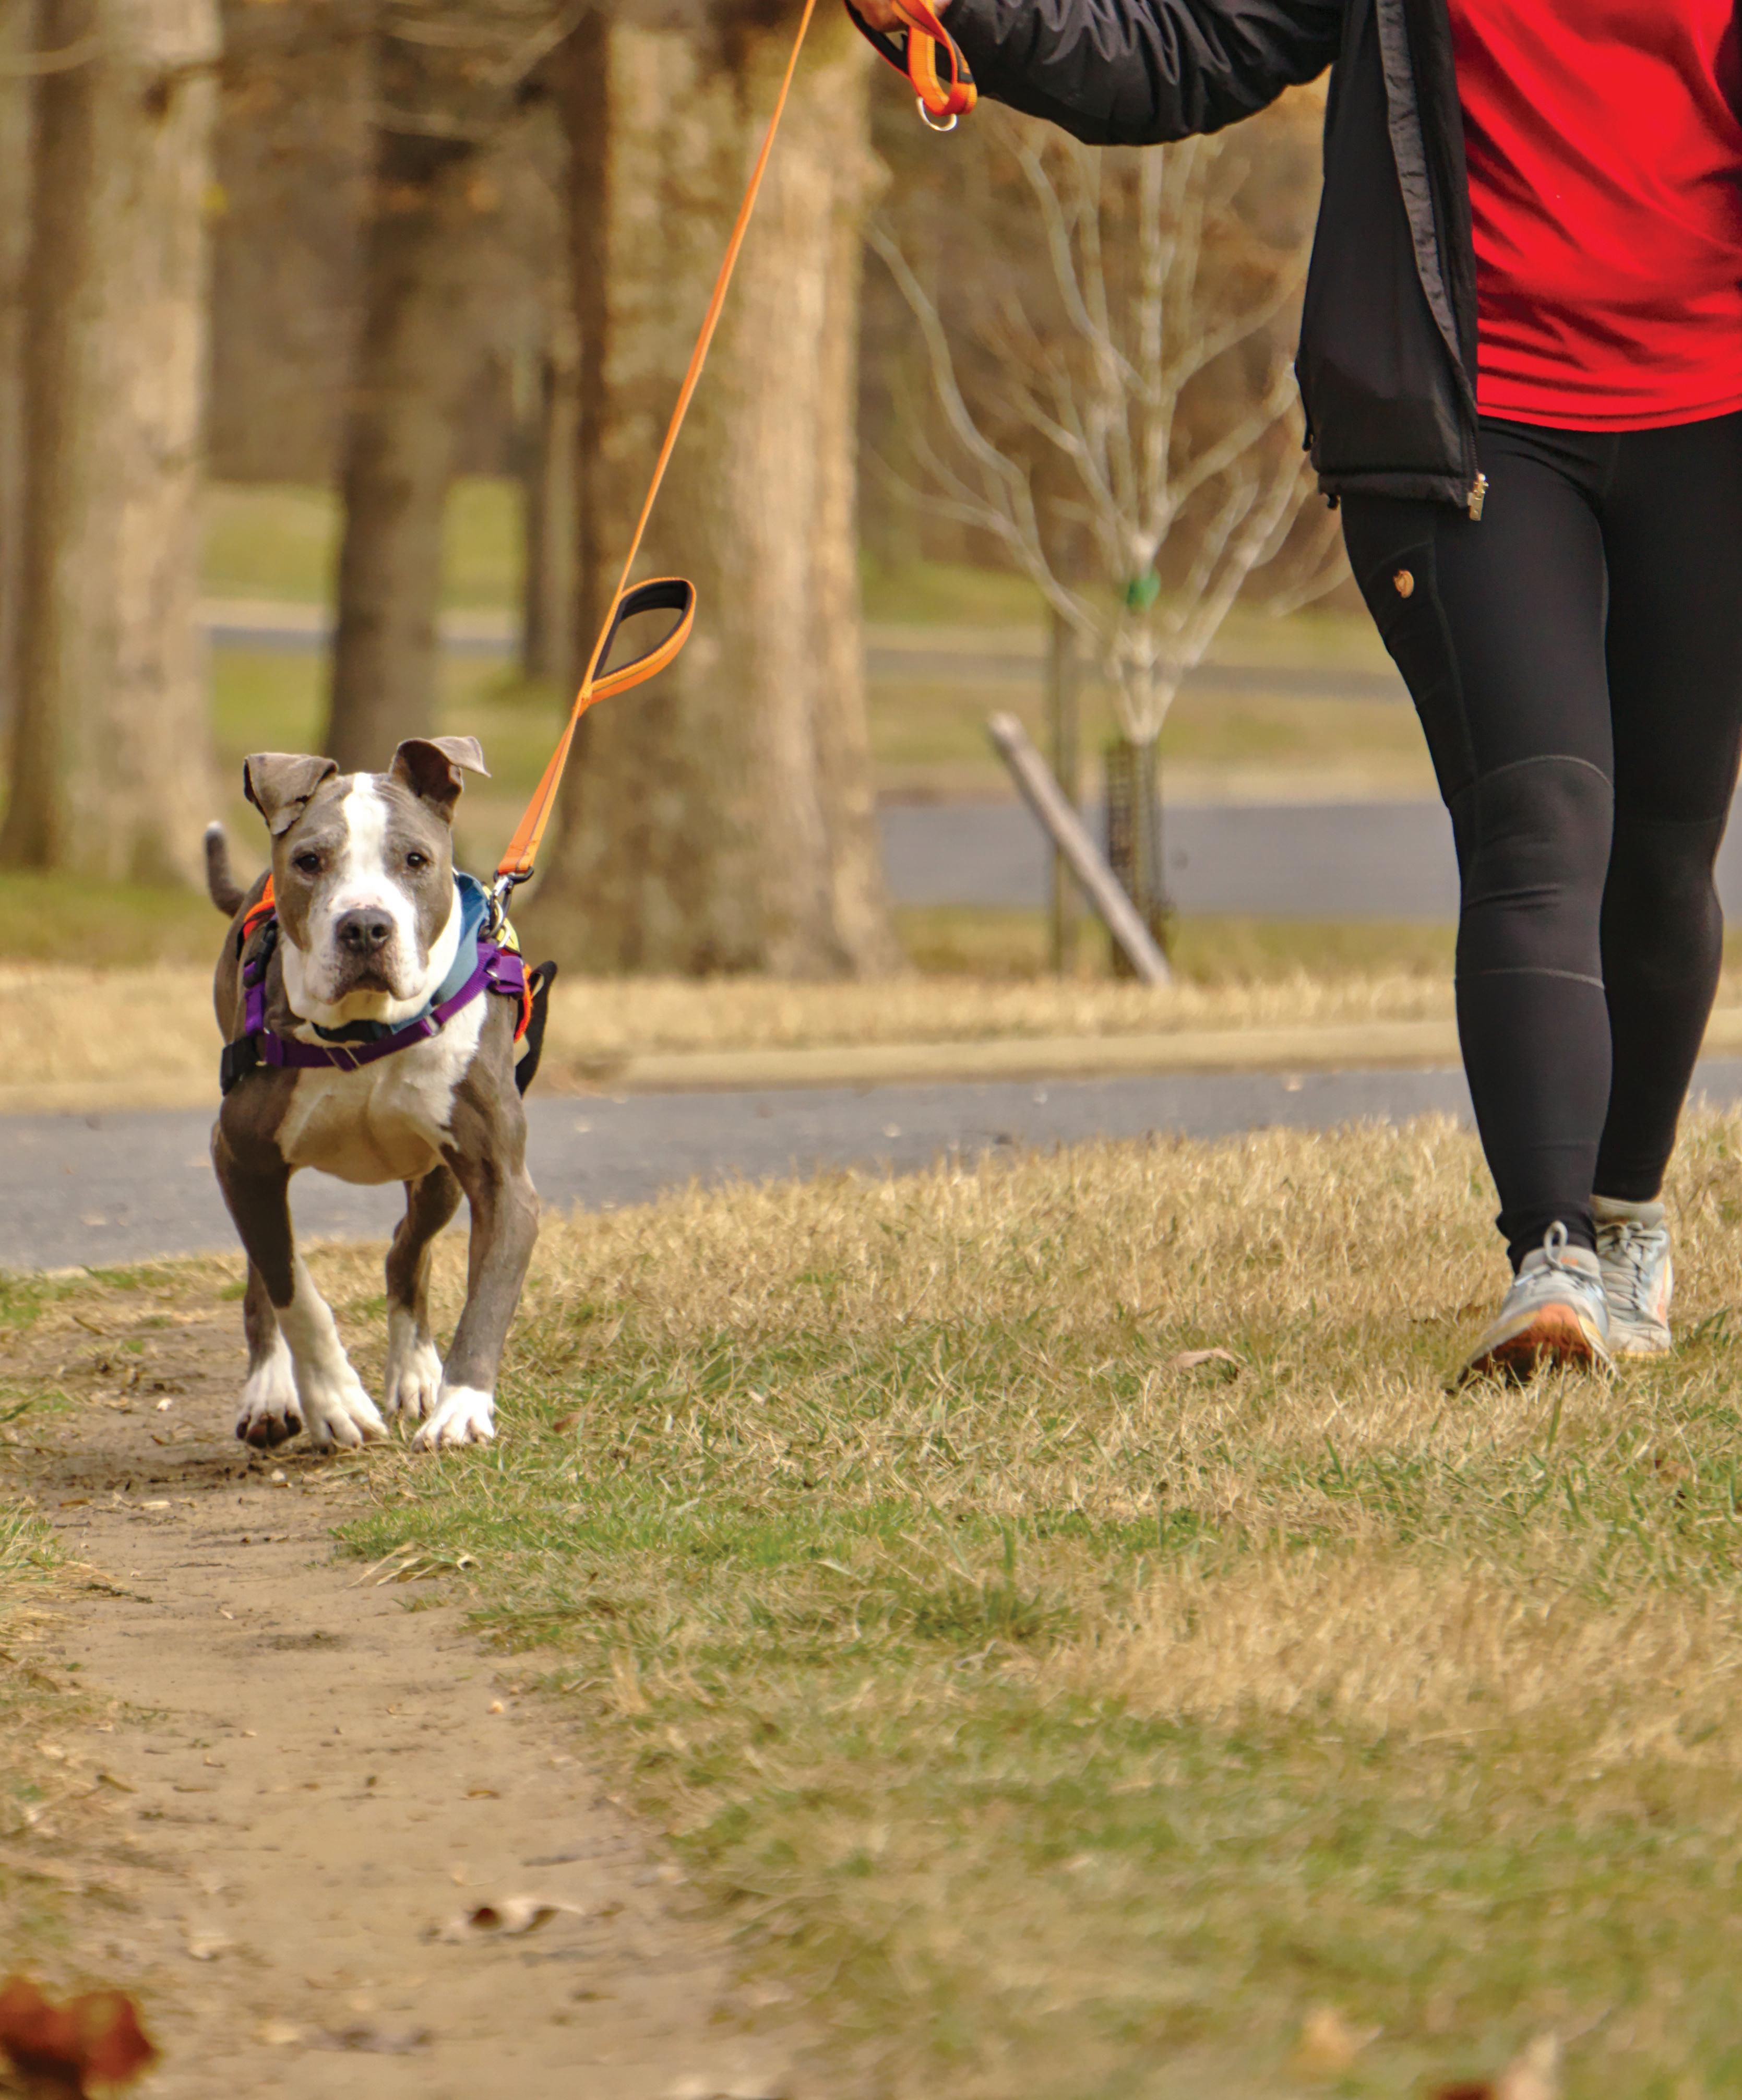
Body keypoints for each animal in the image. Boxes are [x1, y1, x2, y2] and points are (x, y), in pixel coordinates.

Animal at [205, 737, 550, 1453]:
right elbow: (290, 1286)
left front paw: (461, 1406)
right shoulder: (241, 1157)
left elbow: (488, 1297)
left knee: (405, 1249)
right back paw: (270, 1392)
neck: (367, 1029)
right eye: (310, 861)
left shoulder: (500, 1178)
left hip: (437, 1175)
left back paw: (417, 1373)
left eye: (414, 860)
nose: (365, 926)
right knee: (264, 1277)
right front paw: (333, 1400)